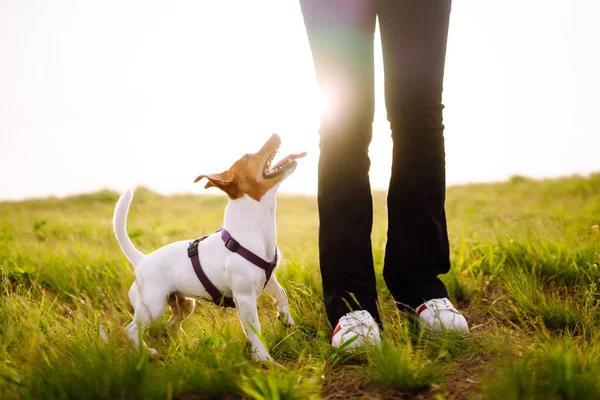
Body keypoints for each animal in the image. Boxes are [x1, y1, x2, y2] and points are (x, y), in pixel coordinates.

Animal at [113, 134, 304, 360]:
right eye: (249, 156)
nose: (275, 135)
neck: (255, 227)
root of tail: (142, 260)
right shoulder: (245, 298)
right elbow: (254, 330)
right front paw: (263, 358)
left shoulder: (269, 277)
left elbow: (281, 295)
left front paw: (286, 319)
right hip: (153, 306)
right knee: (132, 329)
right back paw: (147, 352)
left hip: (185, 303)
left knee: (171, 323)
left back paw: (185, 343)